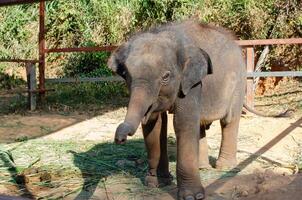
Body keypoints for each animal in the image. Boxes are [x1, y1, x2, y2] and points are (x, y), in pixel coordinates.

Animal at [107, 20, 247, 200]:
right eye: (126, 74)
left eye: (166, 77)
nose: (119, 139)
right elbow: (155, 125)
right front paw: (156, 184)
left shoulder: (192, 81)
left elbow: (183, 122)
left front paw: (192, 196)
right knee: (200, 125)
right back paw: (203, 168)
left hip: (238, 84)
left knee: (229, 121)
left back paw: (225, 167)